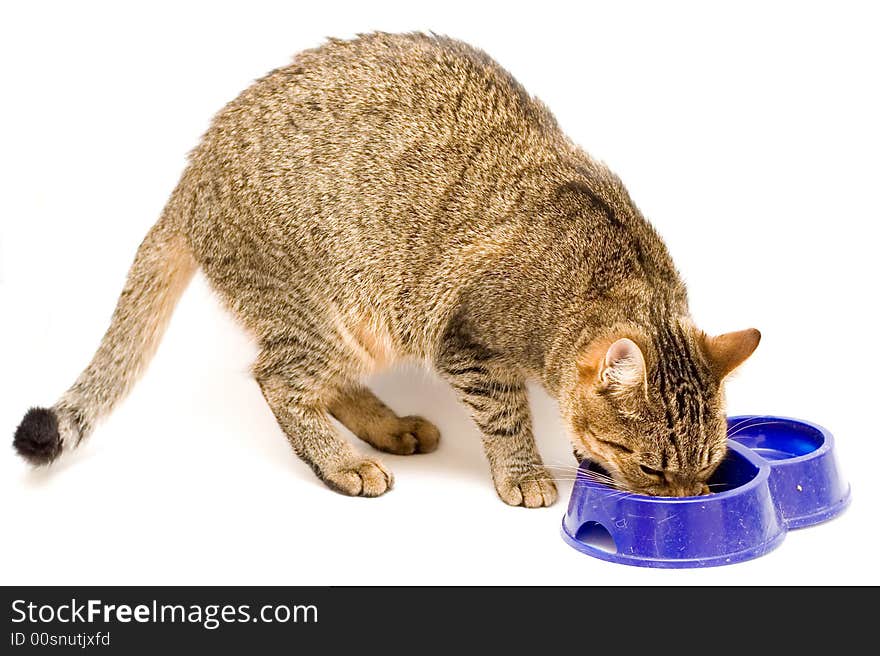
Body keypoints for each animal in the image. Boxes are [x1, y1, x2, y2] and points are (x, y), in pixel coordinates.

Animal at [10, 33, 760, 504]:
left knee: (321, 383)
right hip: (333, 312)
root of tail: (192, 173)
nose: (688, 500)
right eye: (652, 467)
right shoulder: (469, 345)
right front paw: (522, 472)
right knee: (278, 380)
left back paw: (389, 428)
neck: (613, 274)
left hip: (362, 327)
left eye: (709, 466)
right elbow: (506, 417)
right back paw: (344, 464)